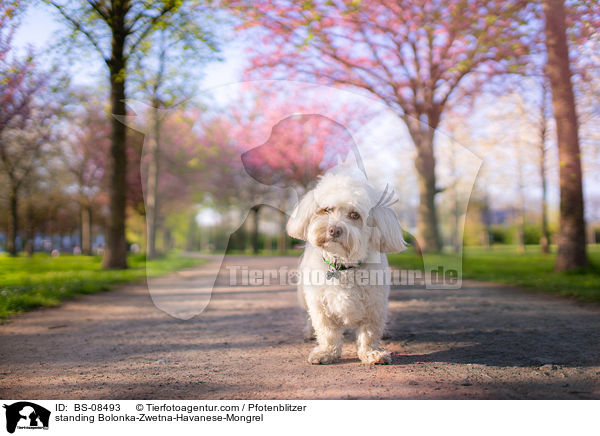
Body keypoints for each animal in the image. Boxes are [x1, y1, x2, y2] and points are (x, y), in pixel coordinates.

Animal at [288, 170, 408, 364]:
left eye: (354, 215)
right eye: (327, 209)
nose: (334, 230)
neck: (343, 266)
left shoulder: (374, 304)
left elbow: (369, 333)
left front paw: (371, 353)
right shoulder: (320, 304)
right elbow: (327, 332)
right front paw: (326, 352)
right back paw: (309, 331)